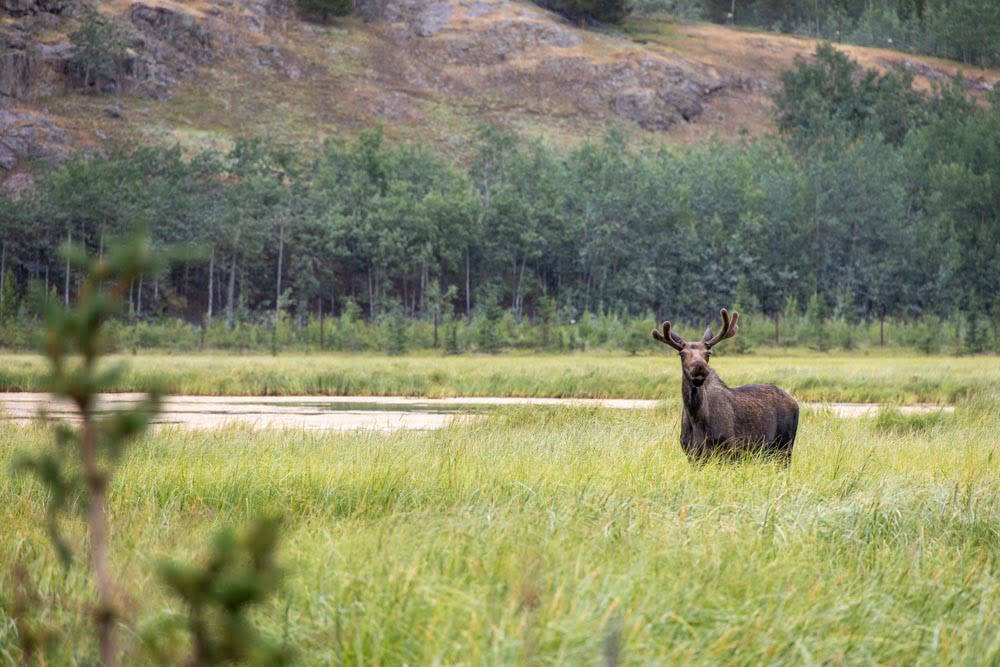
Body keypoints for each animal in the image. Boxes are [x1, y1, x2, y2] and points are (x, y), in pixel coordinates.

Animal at [652, 310, 800, 462]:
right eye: (681, 353)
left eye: (708, 353)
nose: (699, 367)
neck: (696, 418)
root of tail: (795, 403)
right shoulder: (691, 454)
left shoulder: (730, 450)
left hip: (784, 446)